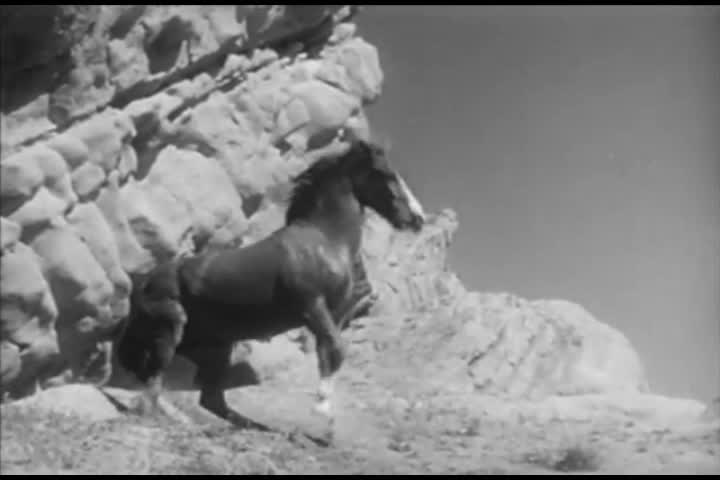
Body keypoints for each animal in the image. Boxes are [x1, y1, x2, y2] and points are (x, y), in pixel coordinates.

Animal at [114, 137, 426, 443]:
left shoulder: (333, 315)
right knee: (153, 383)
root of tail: (144, 284)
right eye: (386, 174)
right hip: (173, 325)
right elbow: (336, 350)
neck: (324, 240)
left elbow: (328, 355)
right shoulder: (312, 306)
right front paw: (322, 413)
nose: (417, 219)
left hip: (219, 345)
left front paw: (326, 427)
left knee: (210, 399)